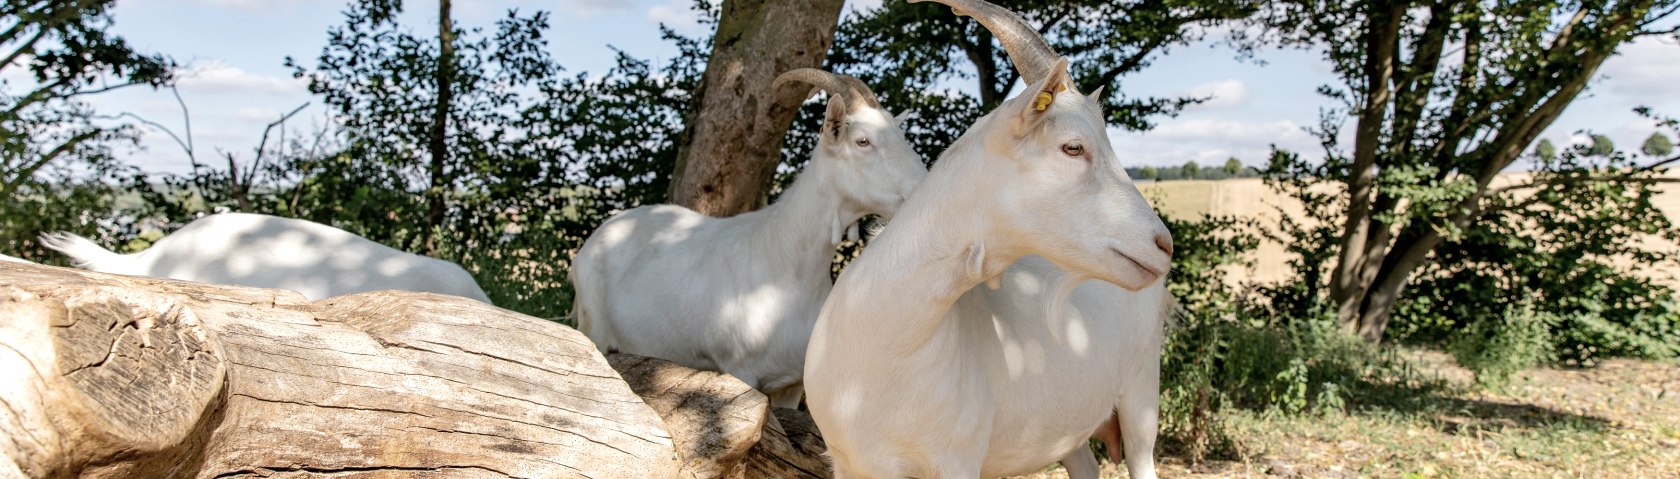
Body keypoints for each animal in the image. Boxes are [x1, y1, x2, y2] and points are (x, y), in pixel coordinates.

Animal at [570, 69, 927, 409]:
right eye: (863, 141)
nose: (922, 186)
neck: (784, 263)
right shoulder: (740, 370)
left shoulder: (792, 384)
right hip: (595, 329)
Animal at [802, 1, 1173, 477]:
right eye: (1073, 147)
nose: (1163, 245)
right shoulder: (847, 461)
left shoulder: (958, 459)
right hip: (1067, 427)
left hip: (1142, 395)